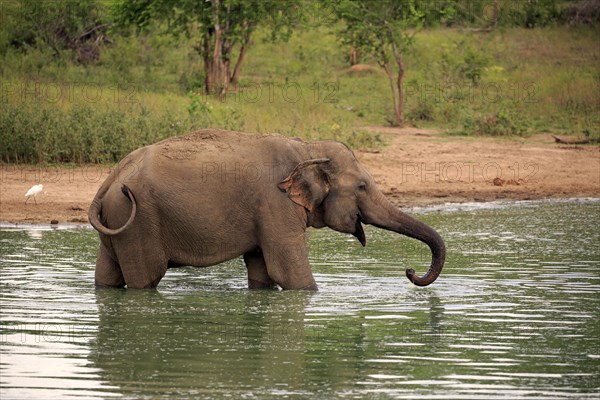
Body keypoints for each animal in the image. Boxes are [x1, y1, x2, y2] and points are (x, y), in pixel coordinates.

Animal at [89, 130, 446, 290]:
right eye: (361, 187)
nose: (410, 271)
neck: (307, 148)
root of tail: (112, 177)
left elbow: (263, 272)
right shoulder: (276, 204)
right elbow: (290, 273)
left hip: (119, 219)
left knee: (107, 277)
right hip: (137, 220)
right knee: (146, 279)